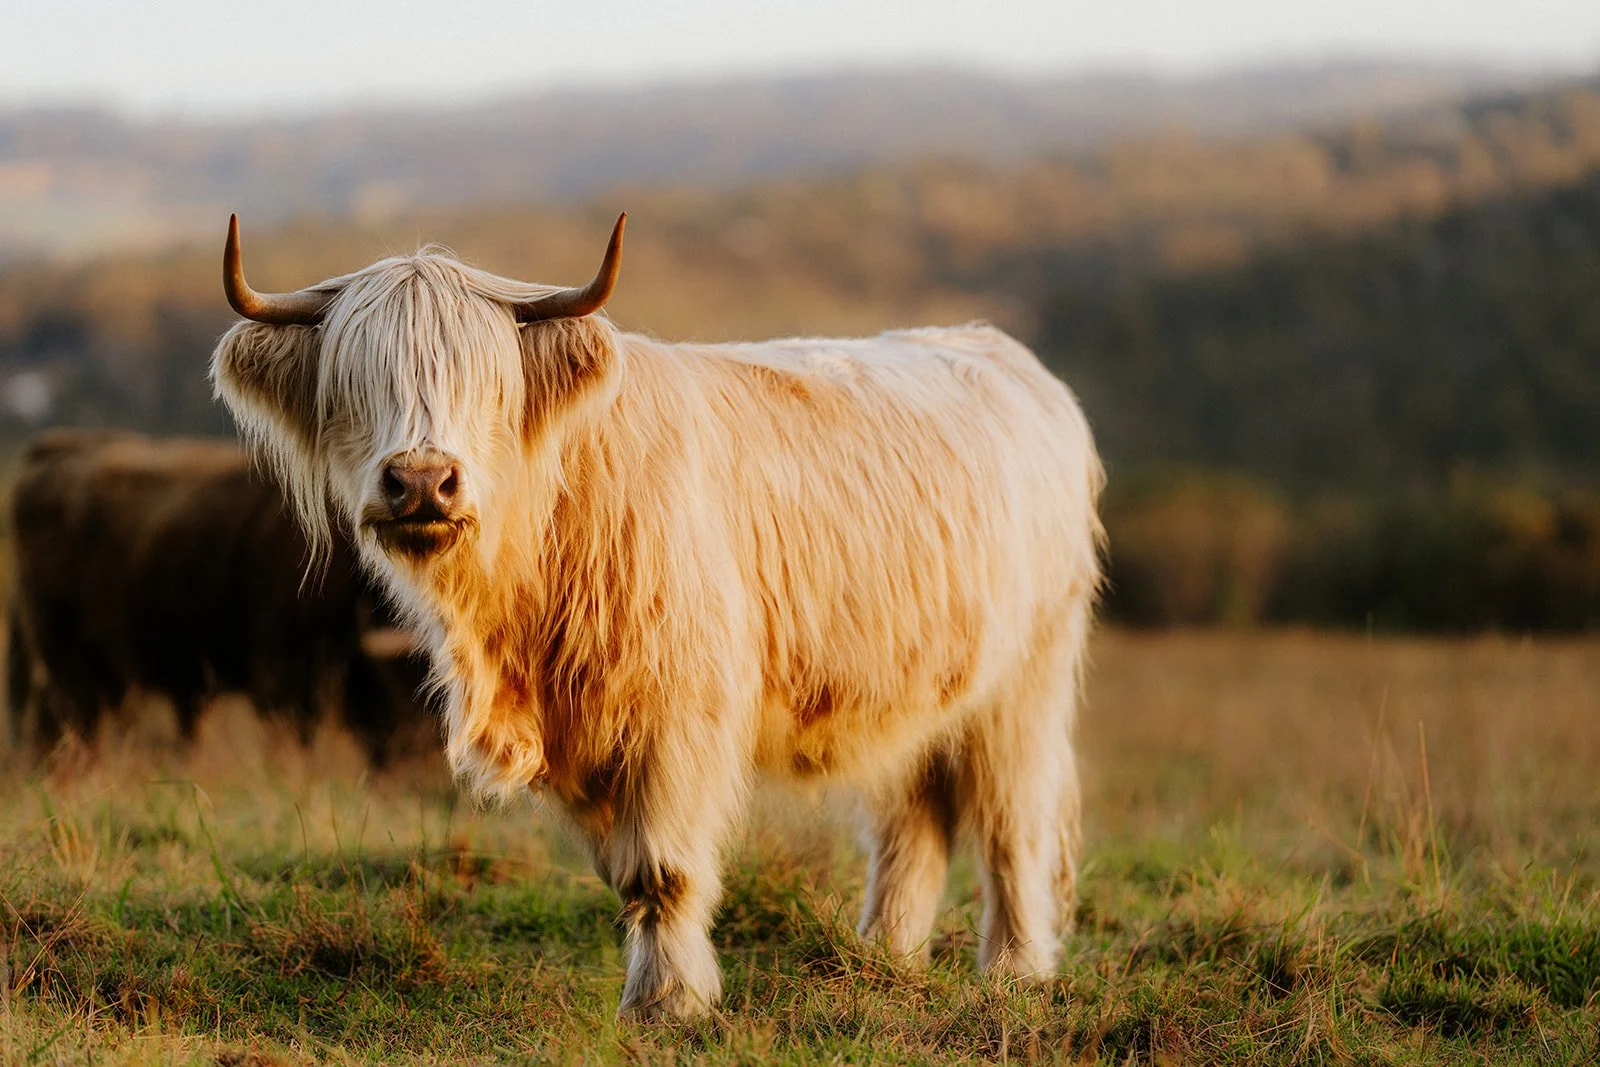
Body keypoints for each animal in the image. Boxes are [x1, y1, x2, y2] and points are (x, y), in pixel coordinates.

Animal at [210, 212, 1103, 1020]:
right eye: (352, 386)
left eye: (489, 386)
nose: (424, 480)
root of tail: (1004, 356)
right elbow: (627, 872)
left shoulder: (676, 716)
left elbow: (662, 869)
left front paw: (670, 1001)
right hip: (915, 693)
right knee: (912, 824)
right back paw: (884, 958)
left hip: (1025, 681)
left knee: (1012, 825)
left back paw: (1016, 971)